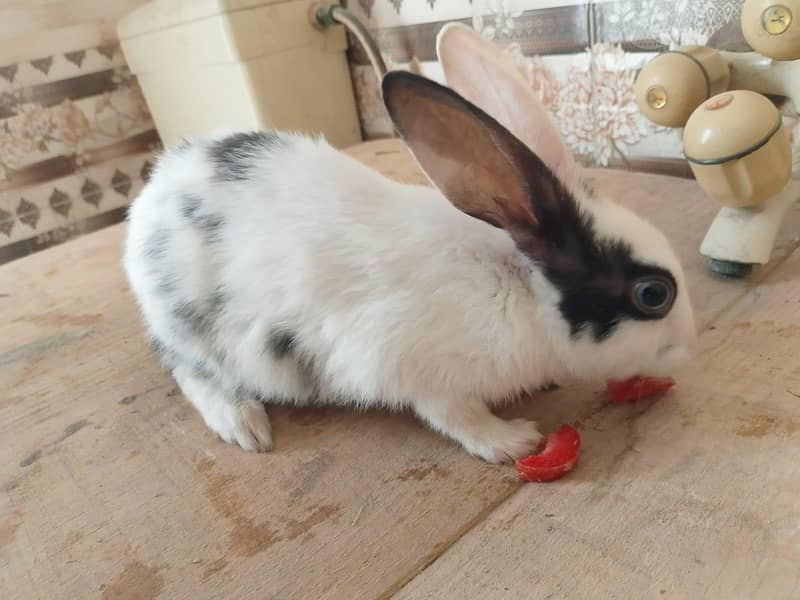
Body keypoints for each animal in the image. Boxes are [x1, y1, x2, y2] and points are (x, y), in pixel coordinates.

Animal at [123, 38, 696, 465]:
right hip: (204, 339)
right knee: (188, 373)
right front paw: (512, 441)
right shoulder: (417, 371)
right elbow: (453, 416)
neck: (519, 288)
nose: (686, 346)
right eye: (653, 294)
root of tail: (151, 198)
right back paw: (243, 425)